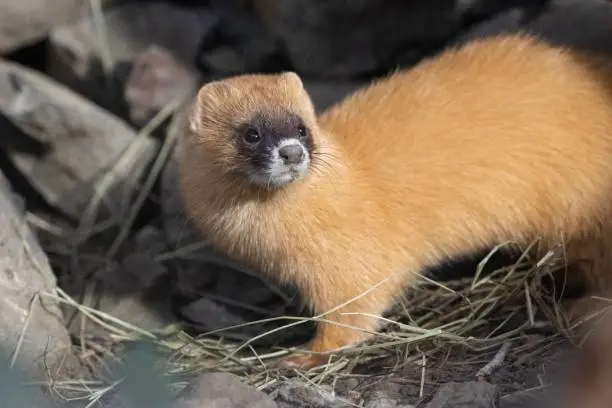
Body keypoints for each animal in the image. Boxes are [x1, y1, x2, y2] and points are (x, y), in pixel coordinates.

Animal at [177, 33, 612, 368]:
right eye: (250, 133)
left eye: (301, 126)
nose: (291, 152)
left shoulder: (351, 265)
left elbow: (352, 317)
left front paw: (302, 357)